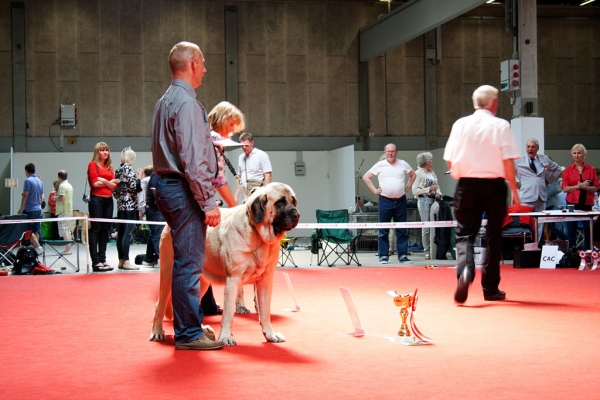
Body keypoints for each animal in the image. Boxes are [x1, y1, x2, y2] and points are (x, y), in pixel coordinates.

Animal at [150, 183, 300, 346]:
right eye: (280, 202)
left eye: (294, 201)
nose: (297, 215)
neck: (257, 234)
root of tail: (169, 223)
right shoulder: (233, 280)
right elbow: (228, 314)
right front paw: (226, 337)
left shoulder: (265, 281)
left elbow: (265, 311)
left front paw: (270, 335)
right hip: (168, 274)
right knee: (159, 305)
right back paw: (157, 332)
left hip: (201, 282)